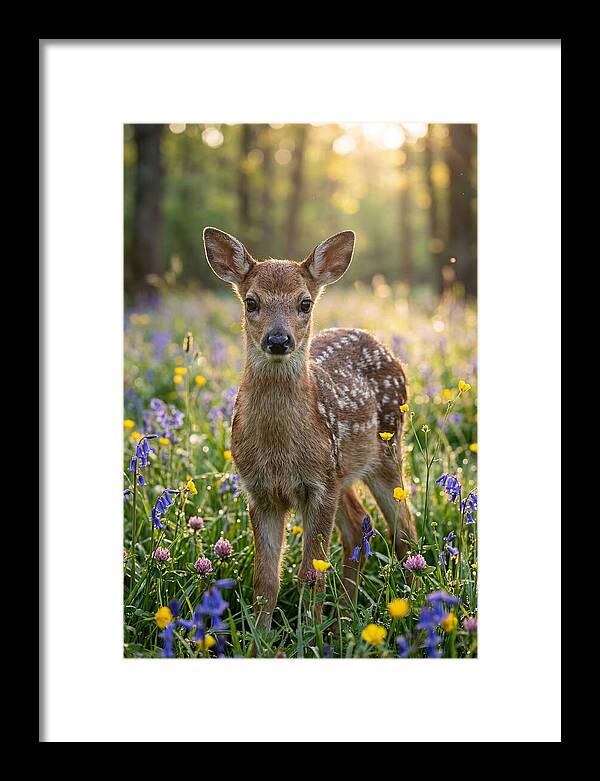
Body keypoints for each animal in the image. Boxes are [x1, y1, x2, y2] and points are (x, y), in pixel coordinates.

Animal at [203, 227, 415, 630]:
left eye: (304, 303)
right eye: (251, 302)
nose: (278, 339)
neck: (278, 451)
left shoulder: (318, 486)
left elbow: (311, 573)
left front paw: (309, 632)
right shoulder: (260, 490)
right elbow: (265, 578)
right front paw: (261, 635)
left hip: (385, 451)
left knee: (404, 532)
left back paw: (413, 606)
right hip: (342, 471)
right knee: (358, 526)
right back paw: (346, 616)